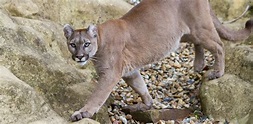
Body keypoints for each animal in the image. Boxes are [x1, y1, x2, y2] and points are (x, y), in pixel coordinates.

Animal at [63, 0, 253, 121]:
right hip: (184, 34)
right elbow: (140, 86)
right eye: (72, 44)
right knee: (198, 43)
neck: (100, 40)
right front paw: (146, 104)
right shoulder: (130, 71)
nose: (79, 56)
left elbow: (97, 96)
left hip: (201, 28)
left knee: (219, 46)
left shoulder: (110, 75)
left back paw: (217, 72)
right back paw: (198, 65)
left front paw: (82, 113)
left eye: (86, 44)